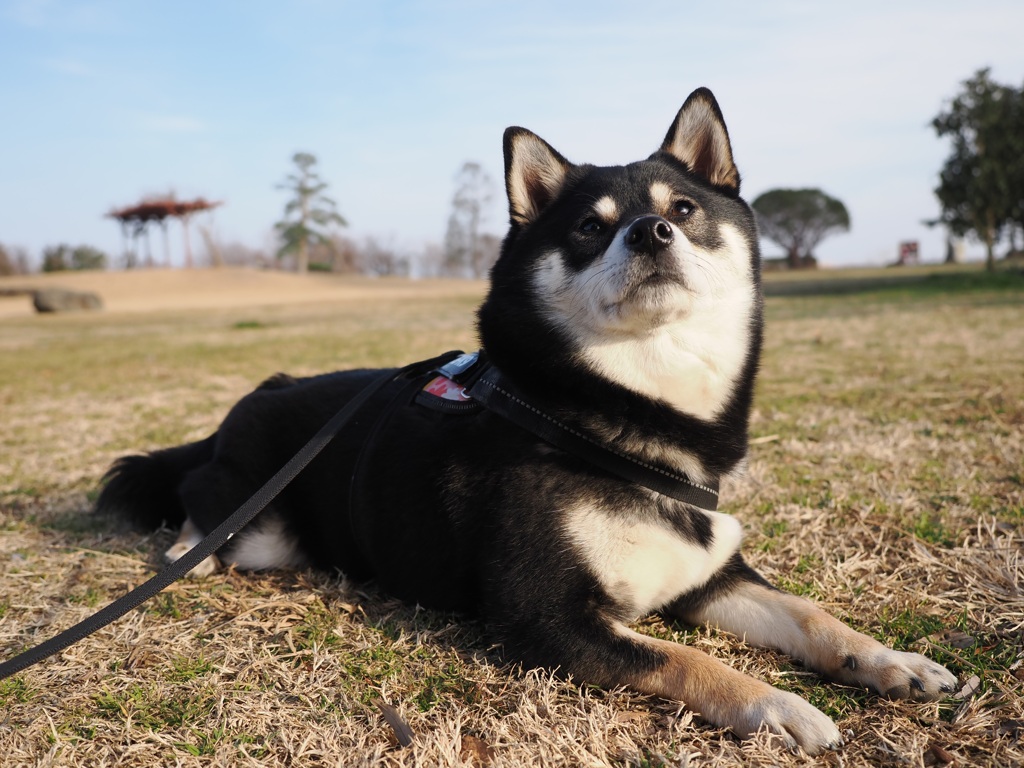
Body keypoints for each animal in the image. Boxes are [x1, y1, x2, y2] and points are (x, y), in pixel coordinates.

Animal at [99, 88, 954, 753]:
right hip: (257, 532)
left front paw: (889, 660)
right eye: (588, 228)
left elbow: (809, 614)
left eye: (683, 210)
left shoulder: (708, 574)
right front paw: (776, 705)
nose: (650, 231)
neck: (613, 419)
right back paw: (182, 549)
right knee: (195, 508)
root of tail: (262, 391)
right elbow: (686, 660)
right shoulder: (544, 616)